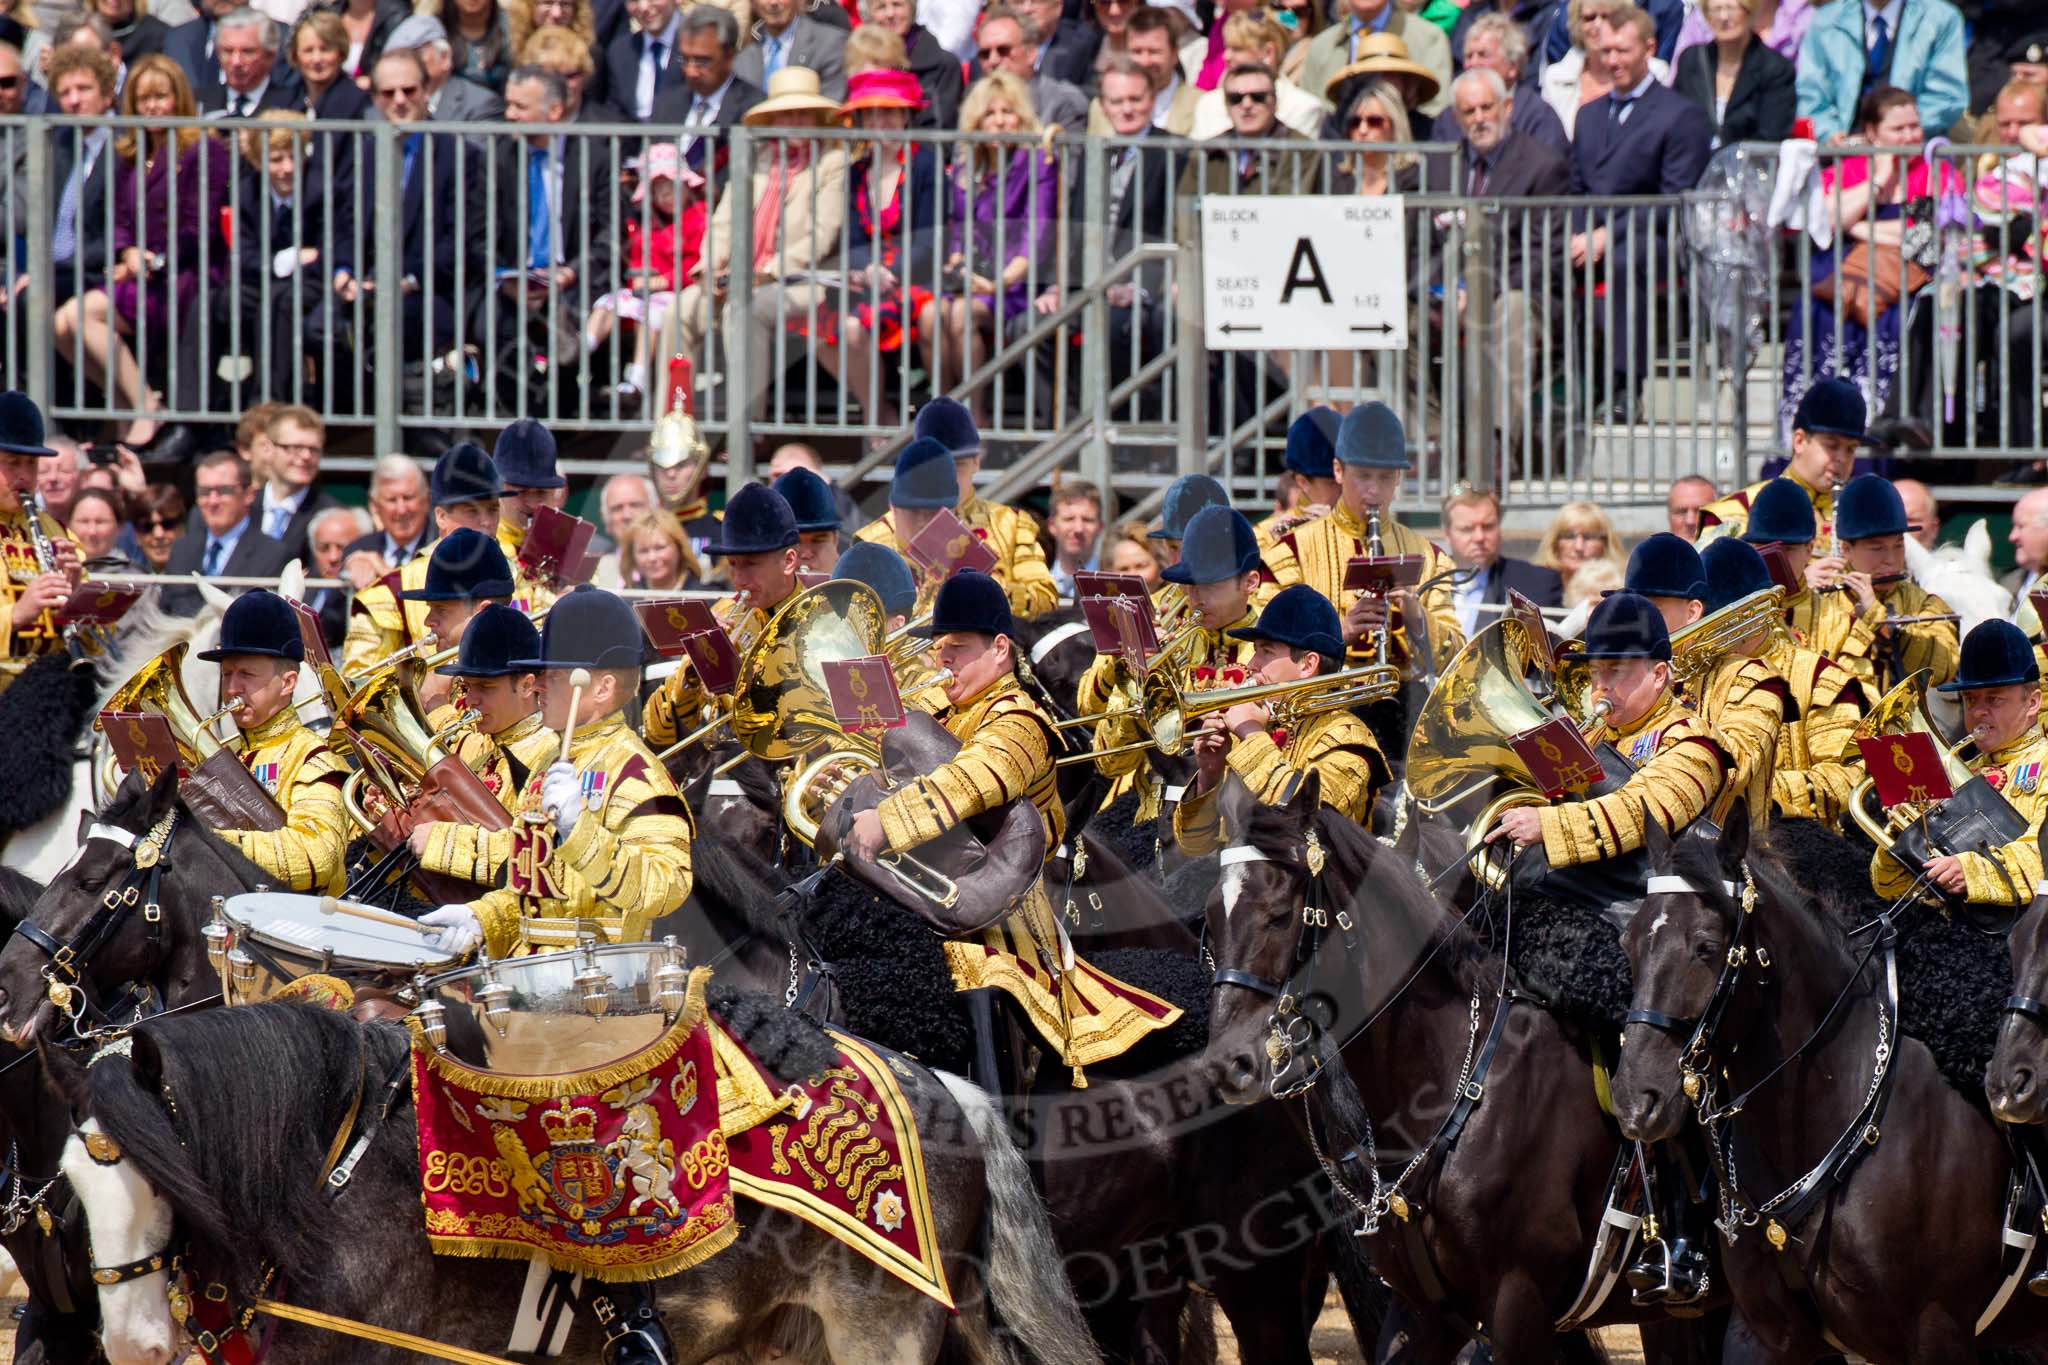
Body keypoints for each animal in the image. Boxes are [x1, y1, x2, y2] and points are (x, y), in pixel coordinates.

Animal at [59, 1002, 1105, 1365]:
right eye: (74, 1185)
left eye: (165, 1175)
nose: (136, 1345)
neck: (340, 1179)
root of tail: (946, 1088)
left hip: (878, 1336)